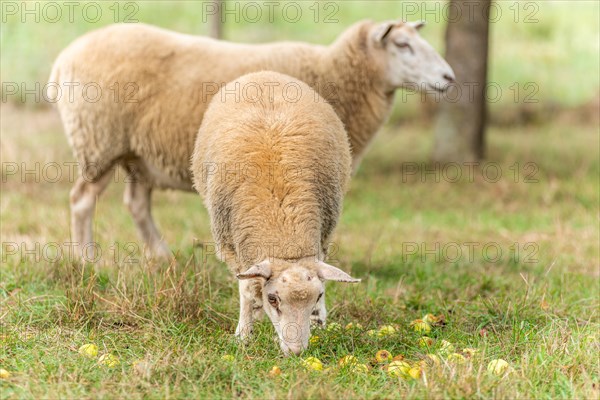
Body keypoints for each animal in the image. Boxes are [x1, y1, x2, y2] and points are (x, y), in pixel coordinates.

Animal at [49, 18, 454, 258]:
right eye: (402, 45)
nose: (449, 77)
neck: (335, 73)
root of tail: (65, 57)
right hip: (99, 141)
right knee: (82, 201)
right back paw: (87, 259)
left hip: (138, 152)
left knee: (136, 204)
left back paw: (161, 256)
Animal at [191, 70, 360, 354]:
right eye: (273, 299)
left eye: (318, 296)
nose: (296, 352)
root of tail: (265, 73)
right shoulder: (234, 248)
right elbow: (247, 290)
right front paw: (243, 334)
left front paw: (317, 321)